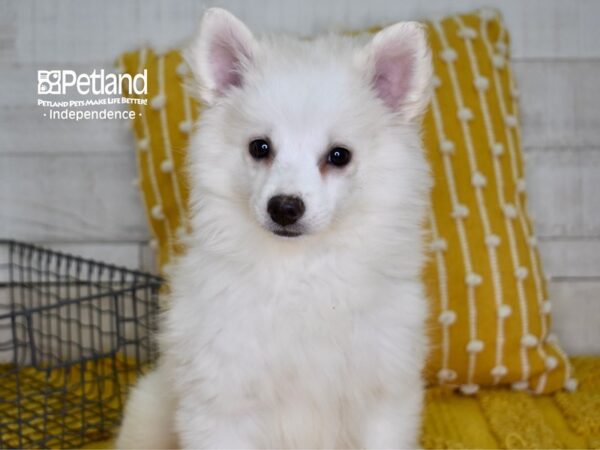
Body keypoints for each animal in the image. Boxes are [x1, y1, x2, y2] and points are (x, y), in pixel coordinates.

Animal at [117, 7, 434, 450]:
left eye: (339, 156)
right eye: (260, 147)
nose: (284, 207)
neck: (301, 272)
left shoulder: (382, 398)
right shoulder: (222, 402)